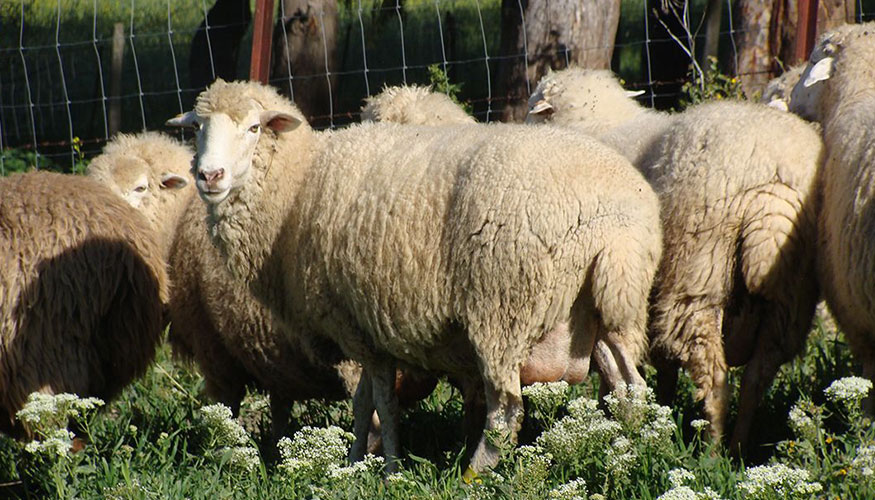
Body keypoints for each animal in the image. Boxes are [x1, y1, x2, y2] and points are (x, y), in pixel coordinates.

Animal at [164, 79, 660, 472]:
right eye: (197, 128)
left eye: (253, 128)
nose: (210, 175)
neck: (296, 188)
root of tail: (620, 218)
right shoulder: (364, 328)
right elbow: (363, 403)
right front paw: (352, 465)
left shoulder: (360, 328)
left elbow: (382, 404)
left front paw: (388, 468)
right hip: (604, 308)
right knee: (630, 388)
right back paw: (632, 452)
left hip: (503, 309)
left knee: (506, 410)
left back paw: (472, 475)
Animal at [528, 66, 828, 450]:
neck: (600, 124)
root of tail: (772, 176)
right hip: (790, 296)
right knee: (757, 375)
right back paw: (738, 446)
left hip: (699, 273)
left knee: (713, 373)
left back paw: (712, 448)